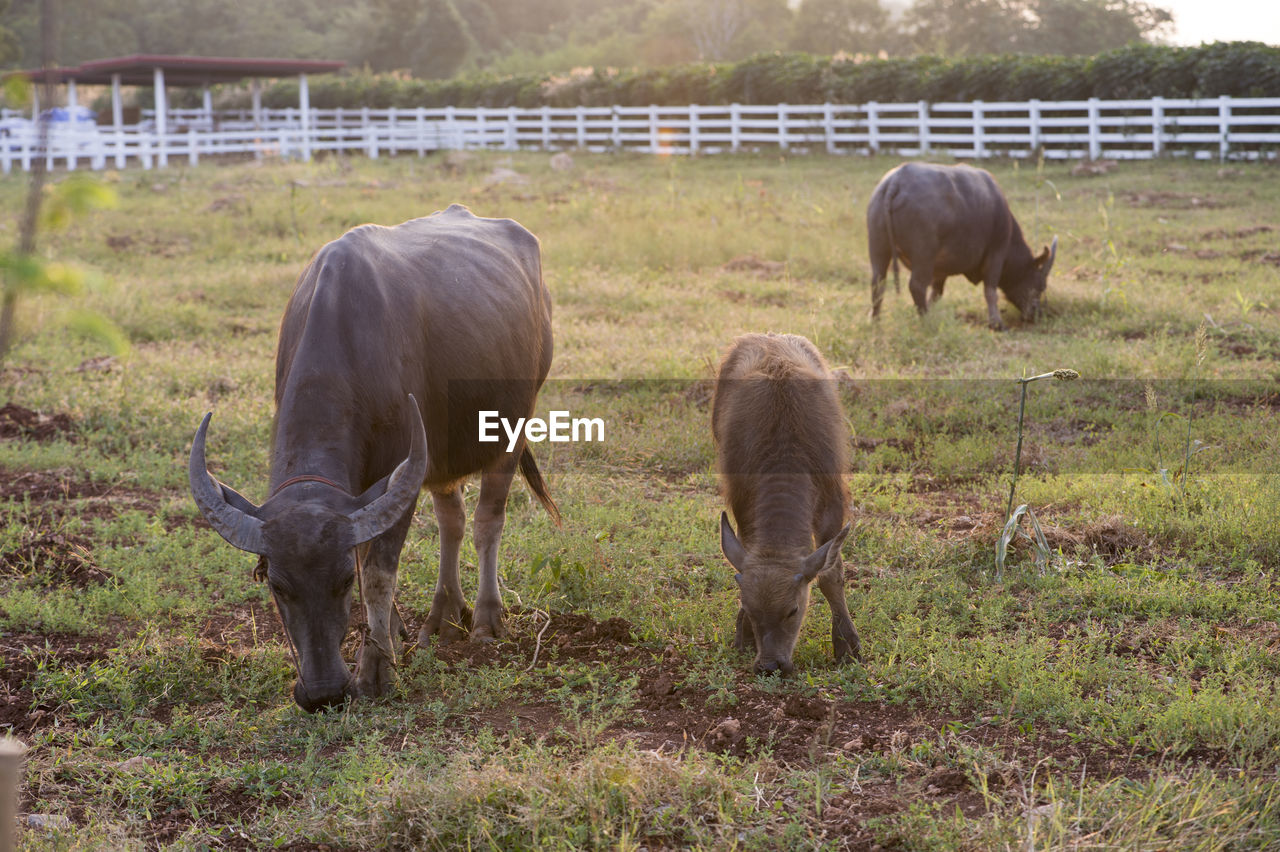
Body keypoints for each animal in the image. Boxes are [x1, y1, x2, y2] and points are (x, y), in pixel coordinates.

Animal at [188, 204, 555, 711]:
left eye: (343, 582)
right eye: (279, 586)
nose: (323, 693)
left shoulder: (397, 471)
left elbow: (379, 571)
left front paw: (376, 669)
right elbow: (372, 551)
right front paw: (394, 634)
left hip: (513, 427)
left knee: (487, 521)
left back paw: (484, 619)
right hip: (442, 458)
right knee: (452, 520)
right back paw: (443, 617)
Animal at [711, 327, 860, 675]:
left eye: (793, 610)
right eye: (750, 608)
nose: (770, 664)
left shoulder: (832, 503)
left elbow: (831, 575)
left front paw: (846, 645)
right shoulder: (743, 504)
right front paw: (743, 634)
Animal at [870, 161, 1059, 330]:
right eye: (1040, 285)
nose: (1037, 313)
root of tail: (896, 180)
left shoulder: (940, 269)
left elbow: (936, 292)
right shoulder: (996, 253)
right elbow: (990, 290)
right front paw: (996, 323)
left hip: (879, 248)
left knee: (878, 282)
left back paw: (876, 321)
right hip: (923, 256)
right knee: (916, 285)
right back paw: (925, 322)